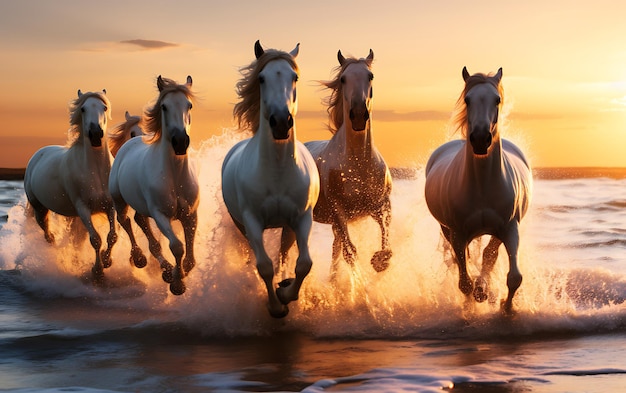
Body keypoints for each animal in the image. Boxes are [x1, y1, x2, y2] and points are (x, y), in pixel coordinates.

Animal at [24, 89, 116, 278]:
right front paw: (97, 271)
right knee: (48, 235)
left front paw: (107, 260)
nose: (96, 134)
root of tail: (38, 154)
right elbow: (96, 239)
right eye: (83, 109)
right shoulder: (83, 208)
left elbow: (112, 236)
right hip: (40, 210)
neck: (96, 172)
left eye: (104, 107)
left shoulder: (110, 205)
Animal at [108, 76, 197, 294]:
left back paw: (164, 268)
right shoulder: (160, 215)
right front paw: (177, 283)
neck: (175, 177)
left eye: (189, 105)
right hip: (119, 200)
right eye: (164, 106)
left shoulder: (191, 215)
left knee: (141, 222)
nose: (180, 142)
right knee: (126, 221)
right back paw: (140, 258)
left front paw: (181, 273)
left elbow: (190, 256)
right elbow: (177, 246)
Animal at [221, 39, 320, 316]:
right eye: (261, 78)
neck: (277, 172)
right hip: (241, 225)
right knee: (253, 256)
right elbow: (264, 266)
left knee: (284, 255)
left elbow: (304, 263)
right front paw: (276, 308)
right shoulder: (251, 221)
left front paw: (285, 292)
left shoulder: (302, 218)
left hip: (287, 226)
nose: (281, 122)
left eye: (294, 77)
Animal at [304, 49, 390, 276]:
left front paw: (379, 262)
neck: (358, 165)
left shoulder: (381, 205)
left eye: (370, 76)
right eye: (343, 79)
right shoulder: (338, 211)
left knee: (335, 248)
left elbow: (386, 243)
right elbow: (350, 252)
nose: (358, 115)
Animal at [422, 67, 528, 312]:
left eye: (497, 99)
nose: (480, 139)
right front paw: (471, 306)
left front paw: (505, 308)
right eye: (467, 100)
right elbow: (464, 282)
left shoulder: (510, 228)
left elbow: (513, 276)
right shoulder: (458, 234)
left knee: (489, 255)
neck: (482, 185)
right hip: (446, 229)